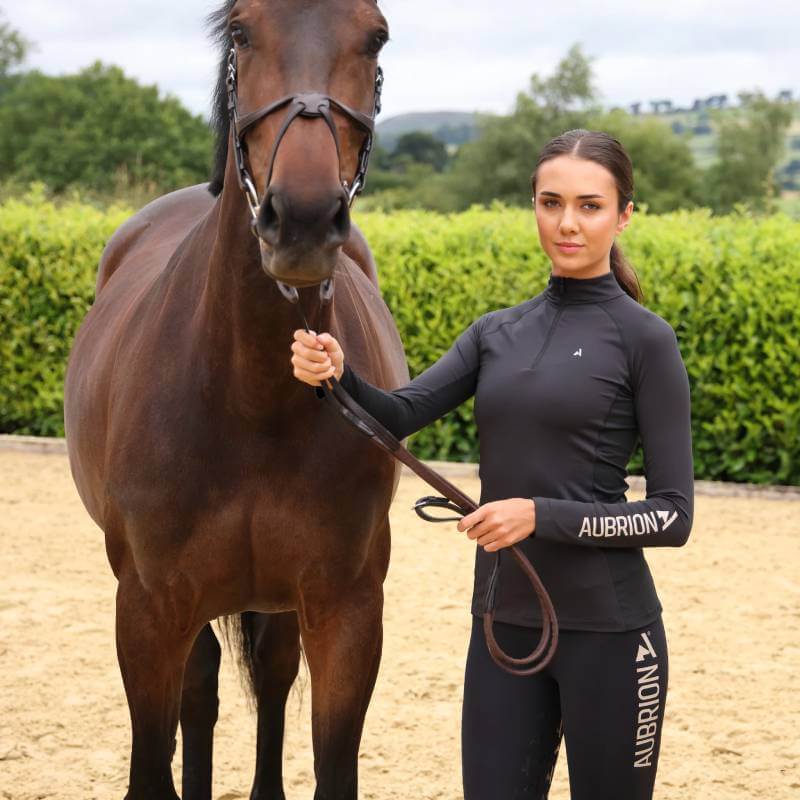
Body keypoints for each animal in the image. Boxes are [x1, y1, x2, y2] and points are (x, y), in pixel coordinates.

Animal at [63, 2, 408, 798]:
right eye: (245, 31)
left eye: (376, 36)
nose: (303, 220)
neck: (251, 398)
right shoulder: (148, 609)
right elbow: (153, 761)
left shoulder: (346, 607)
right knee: (202, 690)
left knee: (271, 678)